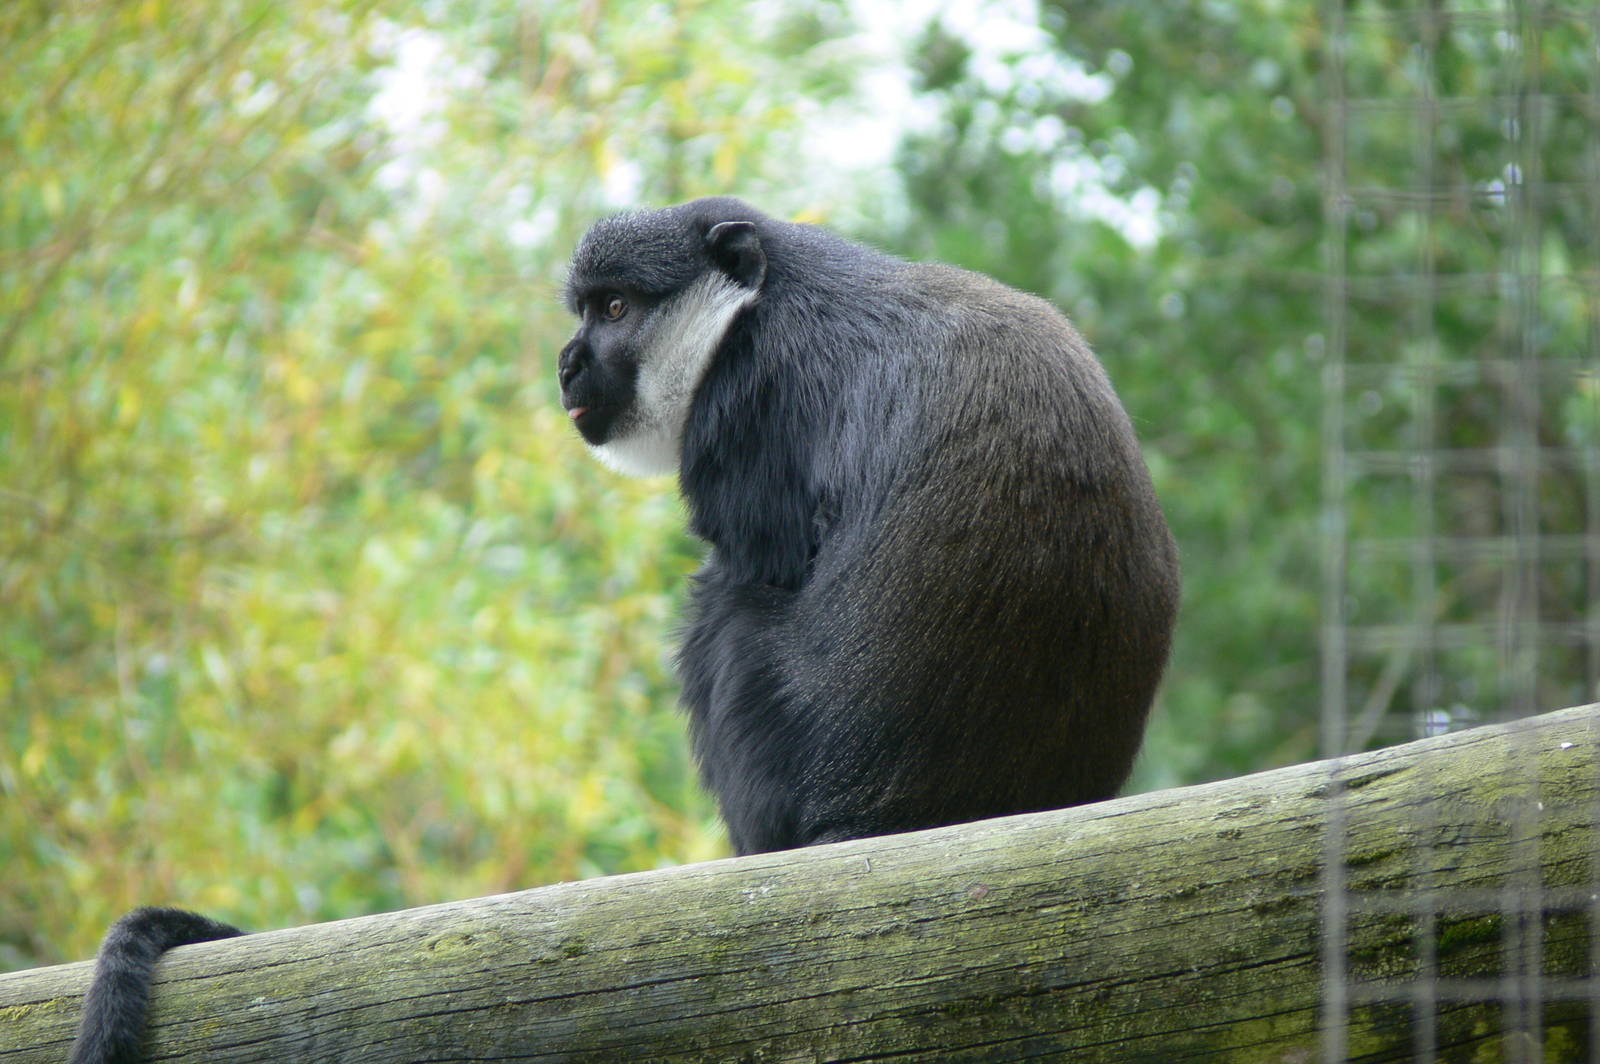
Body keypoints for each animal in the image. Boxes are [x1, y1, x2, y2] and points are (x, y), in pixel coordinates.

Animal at [560, 197, 1179, 854]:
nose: (567, 363)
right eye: (587, 310)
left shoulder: (748, 406)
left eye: (615, 308)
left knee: (727, 612)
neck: (751, 310)